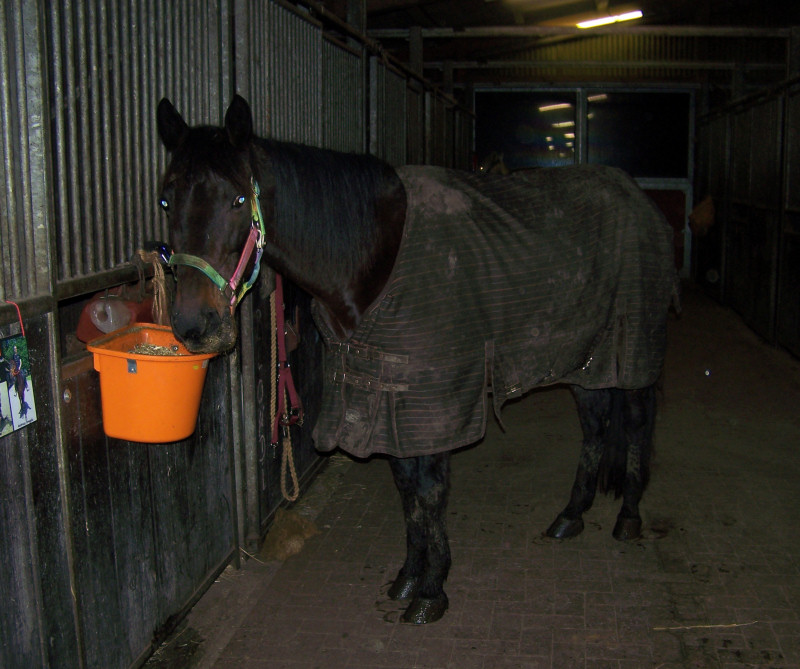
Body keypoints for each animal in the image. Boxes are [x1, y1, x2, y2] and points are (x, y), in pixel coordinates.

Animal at [156, 95, 678, 625]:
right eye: (165, 200)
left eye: (239, 201)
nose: (194, 324)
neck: (372, 258)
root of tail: (639, 201)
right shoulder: (385, 396)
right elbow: (406, 487)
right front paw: (408, 577)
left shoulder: (432, 401)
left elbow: (429, 491)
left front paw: (432, 589)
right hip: (583, 359)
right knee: (595, 425)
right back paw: (571, 515)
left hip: (632, 348)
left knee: (637, 422)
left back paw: (628, 517)